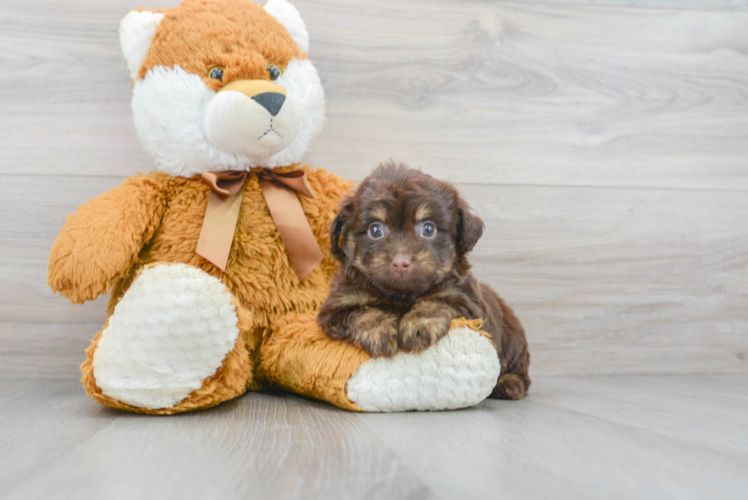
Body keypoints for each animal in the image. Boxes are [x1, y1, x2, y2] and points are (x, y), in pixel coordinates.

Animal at [318, 162, 532, 400]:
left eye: (428, 229)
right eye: (375, 230)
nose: (401, 262)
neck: (401, 296)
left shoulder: (467, 303)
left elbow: (435, 301)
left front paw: (419, 325)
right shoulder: (337, 307)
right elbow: (362, 312)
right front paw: (379, 332)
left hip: (514, 341)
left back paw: (509, 384)